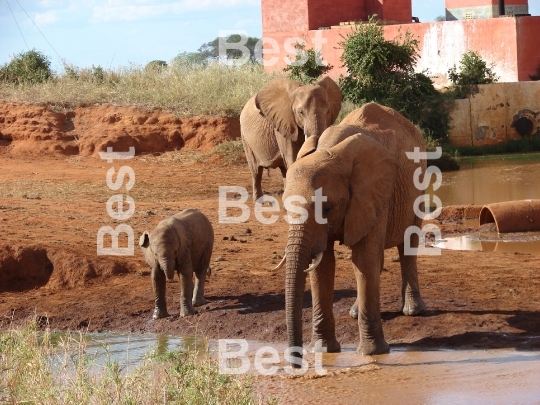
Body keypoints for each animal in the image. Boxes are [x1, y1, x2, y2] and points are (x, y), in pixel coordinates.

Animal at [278, 102, 426, 366]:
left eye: (327, 208)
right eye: (286, 208)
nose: (296, 363)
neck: (331, 152)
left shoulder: (373, 193)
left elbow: (363, 259)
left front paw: (372, 354)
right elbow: (323, 266)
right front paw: (324, 350)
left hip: (419, 184)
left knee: (408, 243)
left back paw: (412, 311)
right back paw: (355, 312)